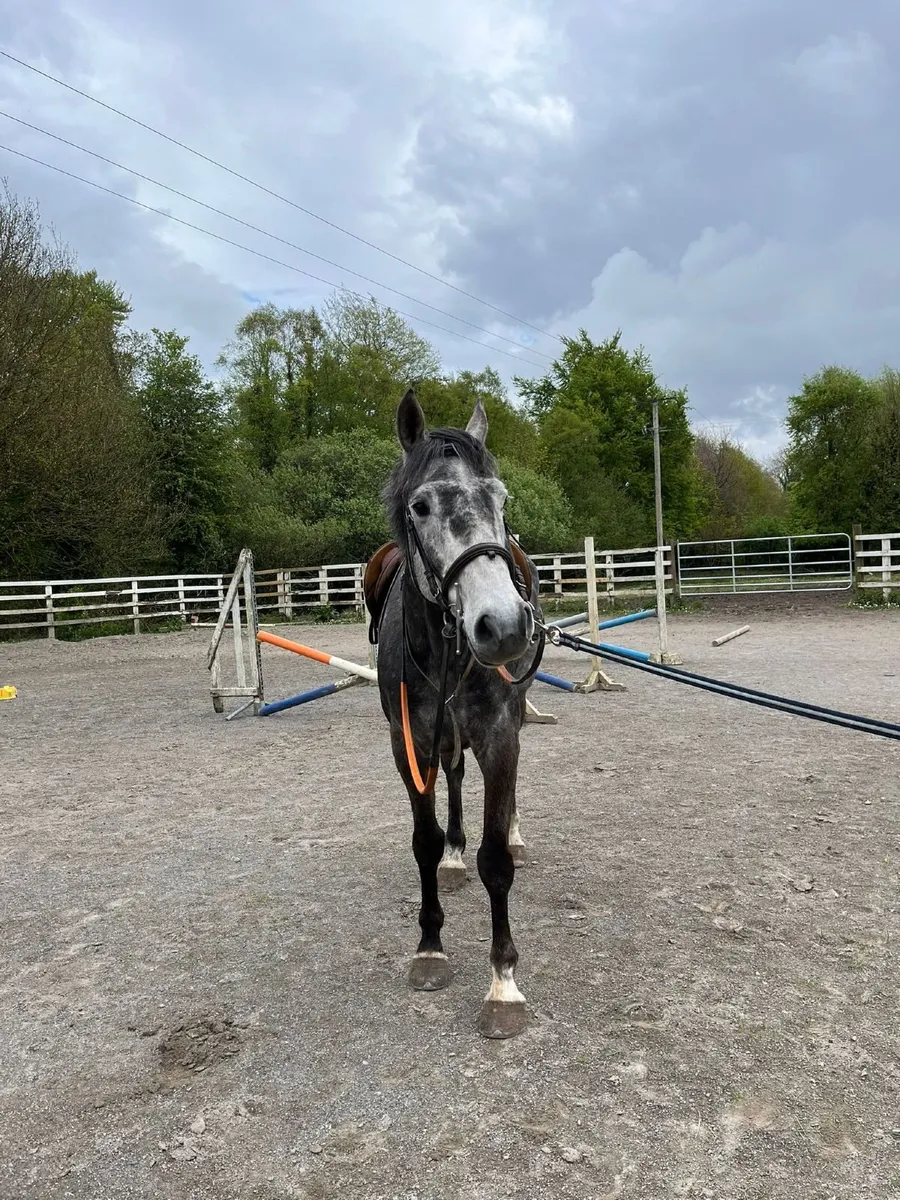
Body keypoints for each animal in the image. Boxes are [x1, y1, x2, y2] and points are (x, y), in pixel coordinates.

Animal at [365, 388, 545, 1039]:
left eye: (500, 498)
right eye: (420, 506)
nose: (504, 626)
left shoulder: (499, 735)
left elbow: (496, 861)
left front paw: (503, 983)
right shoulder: (408, 742)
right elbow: (423, 838)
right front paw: (430, 946)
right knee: (455, 780)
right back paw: (452, 855)